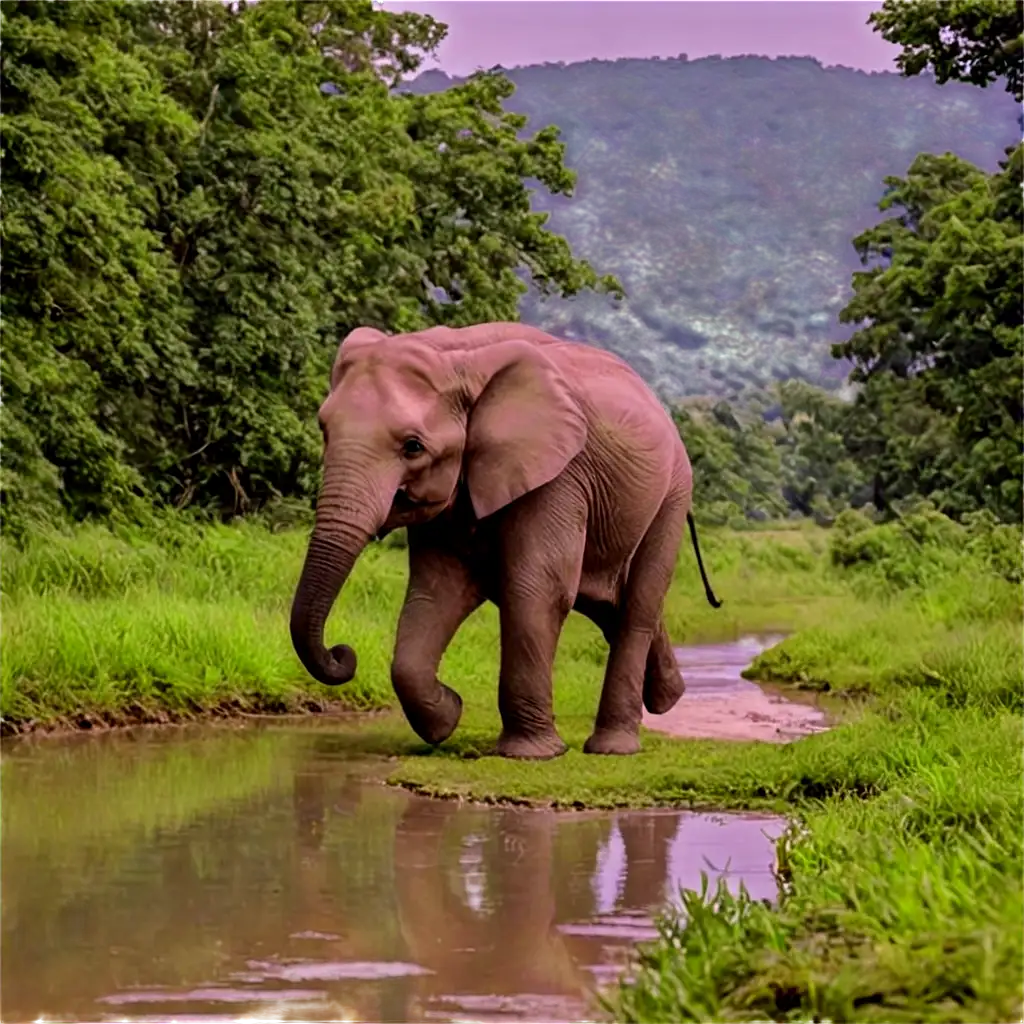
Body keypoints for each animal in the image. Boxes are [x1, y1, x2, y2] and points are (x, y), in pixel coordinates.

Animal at [288, 321, 720, 761]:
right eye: (324, 430)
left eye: (413, 447)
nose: (343, 653)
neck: (456, 358)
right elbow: (436, 589)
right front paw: (449, 716)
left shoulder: (558, 474)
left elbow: (539, 588)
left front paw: (530, 755)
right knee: (607, 603)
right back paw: (669, 695)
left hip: (671, 495)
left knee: (635, 606)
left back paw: (614, 747)